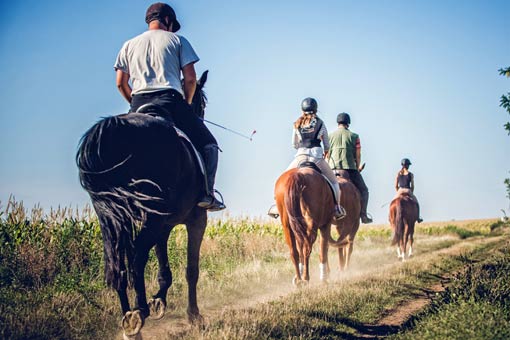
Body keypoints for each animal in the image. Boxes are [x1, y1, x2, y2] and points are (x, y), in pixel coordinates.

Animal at [75, 71, 209, 334]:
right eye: (203, 102)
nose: (200, 114)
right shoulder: (196, 219)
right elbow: (191, 269)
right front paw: (193, 315)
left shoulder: (163, 224)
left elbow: (163, 263)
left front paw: (159, 300)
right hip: (149, 217)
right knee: (136, 257)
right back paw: (139, 312)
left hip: (112, 217)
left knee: (118, 263)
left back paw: (129, 316)